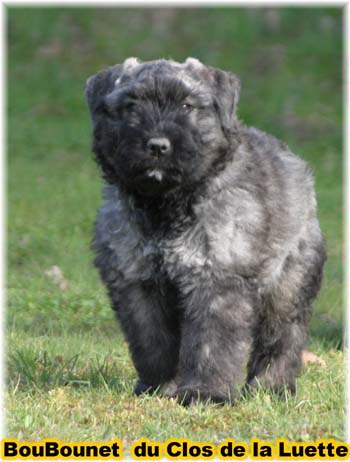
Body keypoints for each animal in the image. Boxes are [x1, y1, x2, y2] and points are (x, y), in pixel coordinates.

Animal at [85, 56, 326, 404]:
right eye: (131, 105)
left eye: (187, 105)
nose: (157, 145)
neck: (166, 208)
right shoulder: (139, 283)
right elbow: (152, 343)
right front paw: (159, 386)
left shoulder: (216, 279)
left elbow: (212, 344)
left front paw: (205, 393)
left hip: (287, 285)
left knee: (282, 337)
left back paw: (272, 388)